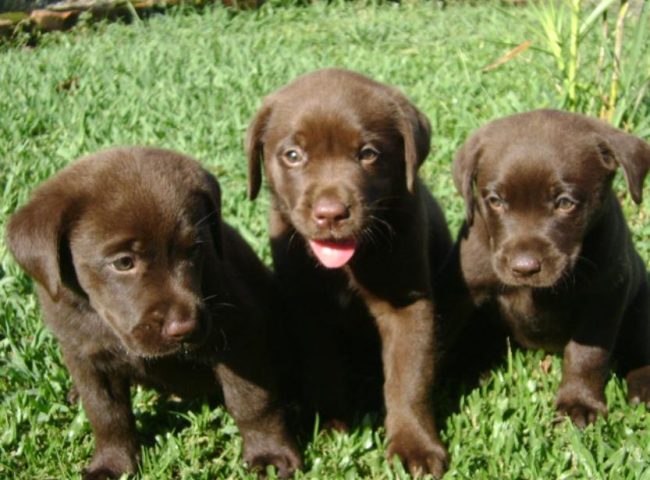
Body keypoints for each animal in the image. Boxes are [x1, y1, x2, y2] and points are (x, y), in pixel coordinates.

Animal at [6, 147, 300, 480]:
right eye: (123, 262)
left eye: (194, 249)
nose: (184, 328)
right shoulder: (85, 354)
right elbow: (106, 414)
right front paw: (112, 464)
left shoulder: (240, 335)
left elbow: (252, 402)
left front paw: (269, 453)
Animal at [243, 68, 450, 476]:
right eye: (293, 155)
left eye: (368, 154)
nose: (330, 213)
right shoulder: (307, 307)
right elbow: (322, 366)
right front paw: (329, 422)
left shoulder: (408, 304)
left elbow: (409, 378)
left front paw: (414, 446)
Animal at [450, 109, 648, 428]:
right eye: (495, 201)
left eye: (565, 203)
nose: (524, 268)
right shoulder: (462, 287)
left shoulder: (605, 295)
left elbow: (587, 354)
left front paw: (579, 402)